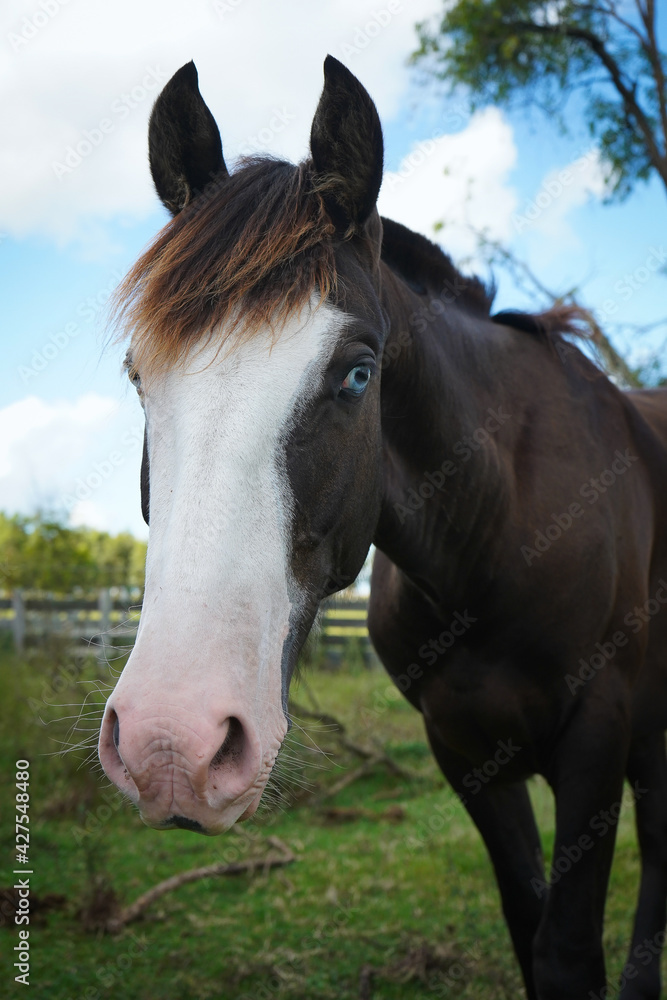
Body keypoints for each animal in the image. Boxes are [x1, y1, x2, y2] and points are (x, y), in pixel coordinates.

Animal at [99, 57, 667, 999]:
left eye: (357, 374)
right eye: (140, 376)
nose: (170, 745)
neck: (497, 532)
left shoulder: (599, 733)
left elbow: (566, 948)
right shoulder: (463, 748)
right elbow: (529, 923)